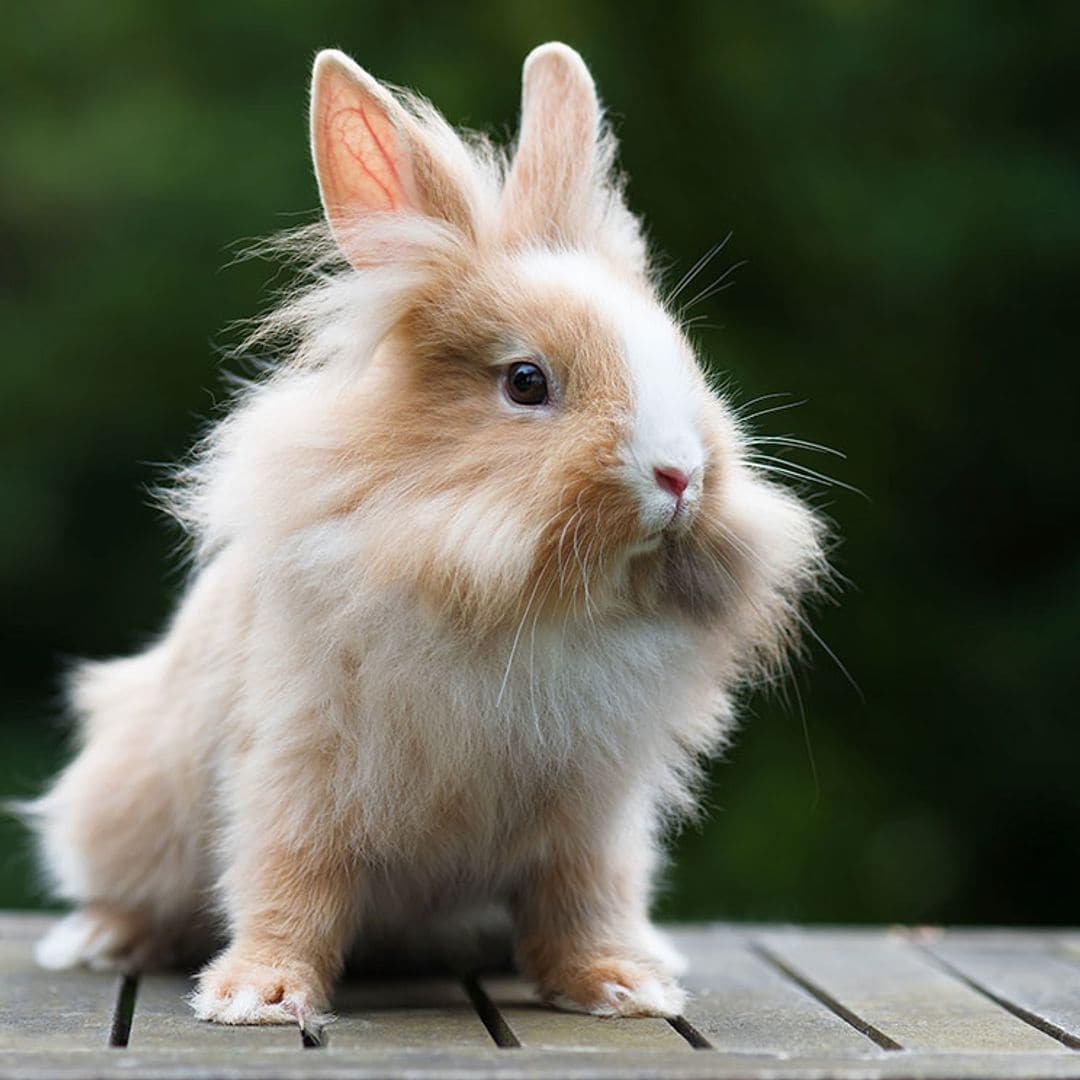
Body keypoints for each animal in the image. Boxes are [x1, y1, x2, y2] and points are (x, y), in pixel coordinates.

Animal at [25, 44, 825, 1028]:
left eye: (684, 360)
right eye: (526, 382)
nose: (680, 476)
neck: (522, 601)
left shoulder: (593, 813)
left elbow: (583, 901)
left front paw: (621, 986)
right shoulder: (300, 768)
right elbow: (290, 882)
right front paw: (260, 996)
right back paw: (100, 940)